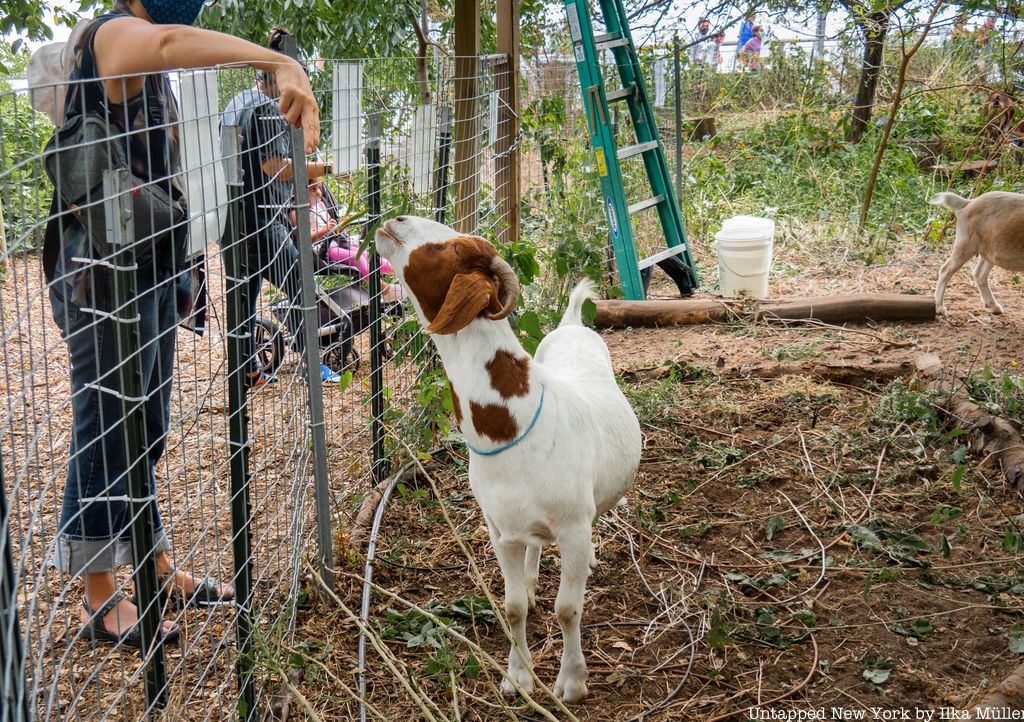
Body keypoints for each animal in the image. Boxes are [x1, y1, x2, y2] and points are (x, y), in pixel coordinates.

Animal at [376, 217, 638, 700]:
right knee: (535, 547)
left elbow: (568, 609)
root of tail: (573, 324)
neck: (513, 424)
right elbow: (513, 606)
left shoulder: (573, 526)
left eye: (450, 248)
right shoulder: (500, 529)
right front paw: (517, 677)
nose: (395, 221)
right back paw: (534, 579)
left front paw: (572, 683)